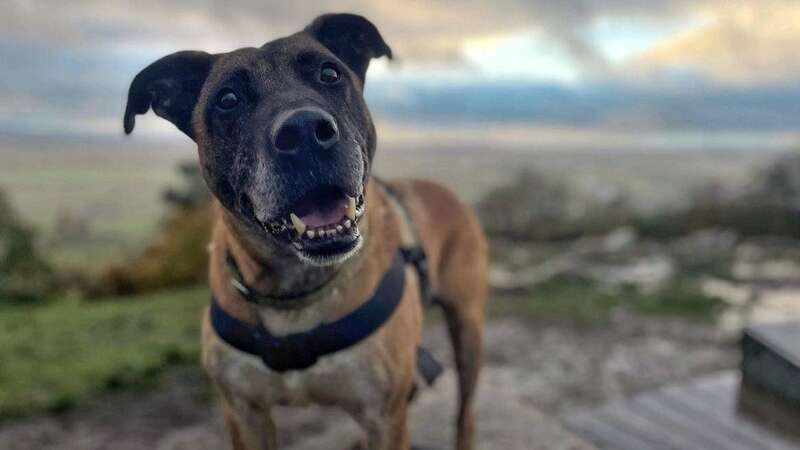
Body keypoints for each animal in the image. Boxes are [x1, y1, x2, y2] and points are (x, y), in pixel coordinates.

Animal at [123, 12, 488, 448]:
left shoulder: (384, 415)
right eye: (227, 99)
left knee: (465, 412)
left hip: (467, 330)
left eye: (329, 73)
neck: (293, 290)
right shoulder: (244, 413)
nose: (304, 131)